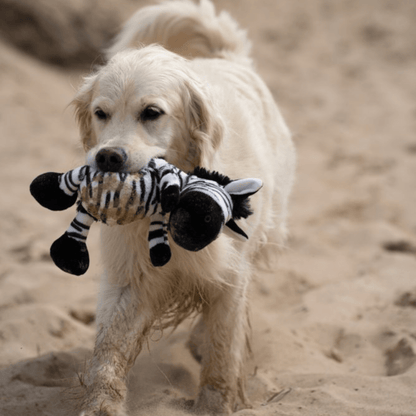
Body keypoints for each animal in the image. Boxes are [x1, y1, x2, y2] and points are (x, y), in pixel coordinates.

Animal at [75, 1, 296, 414]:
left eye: (151, 112)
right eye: (101, 113)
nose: (108, 156)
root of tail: (225, 56)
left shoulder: (230, 272)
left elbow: (223, 349)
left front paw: (214, 403)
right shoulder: (130, 276)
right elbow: (108, 351)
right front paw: (101, 405)